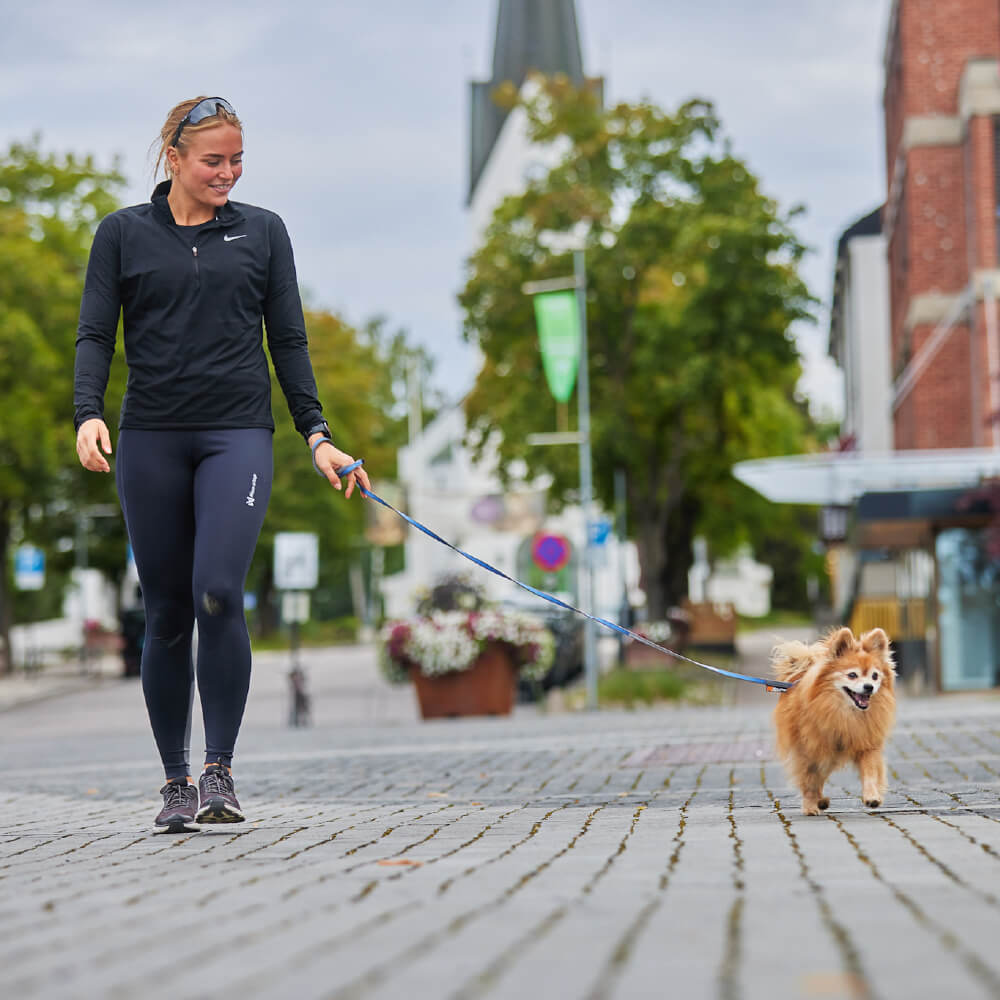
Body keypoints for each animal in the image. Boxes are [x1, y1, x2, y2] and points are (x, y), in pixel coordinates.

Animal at [772, 628, 900, 816]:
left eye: (875, 676)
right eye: (852, 675)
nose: (869, 687)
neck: (844, 714)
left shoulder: (866, 744)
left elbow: (870, 772)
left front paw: (872, 796)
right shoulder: (808, 750)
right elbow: (809, 780)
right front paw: (810, 806)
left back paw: (822, 800)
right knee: (815, 778)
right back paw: (818, 801)